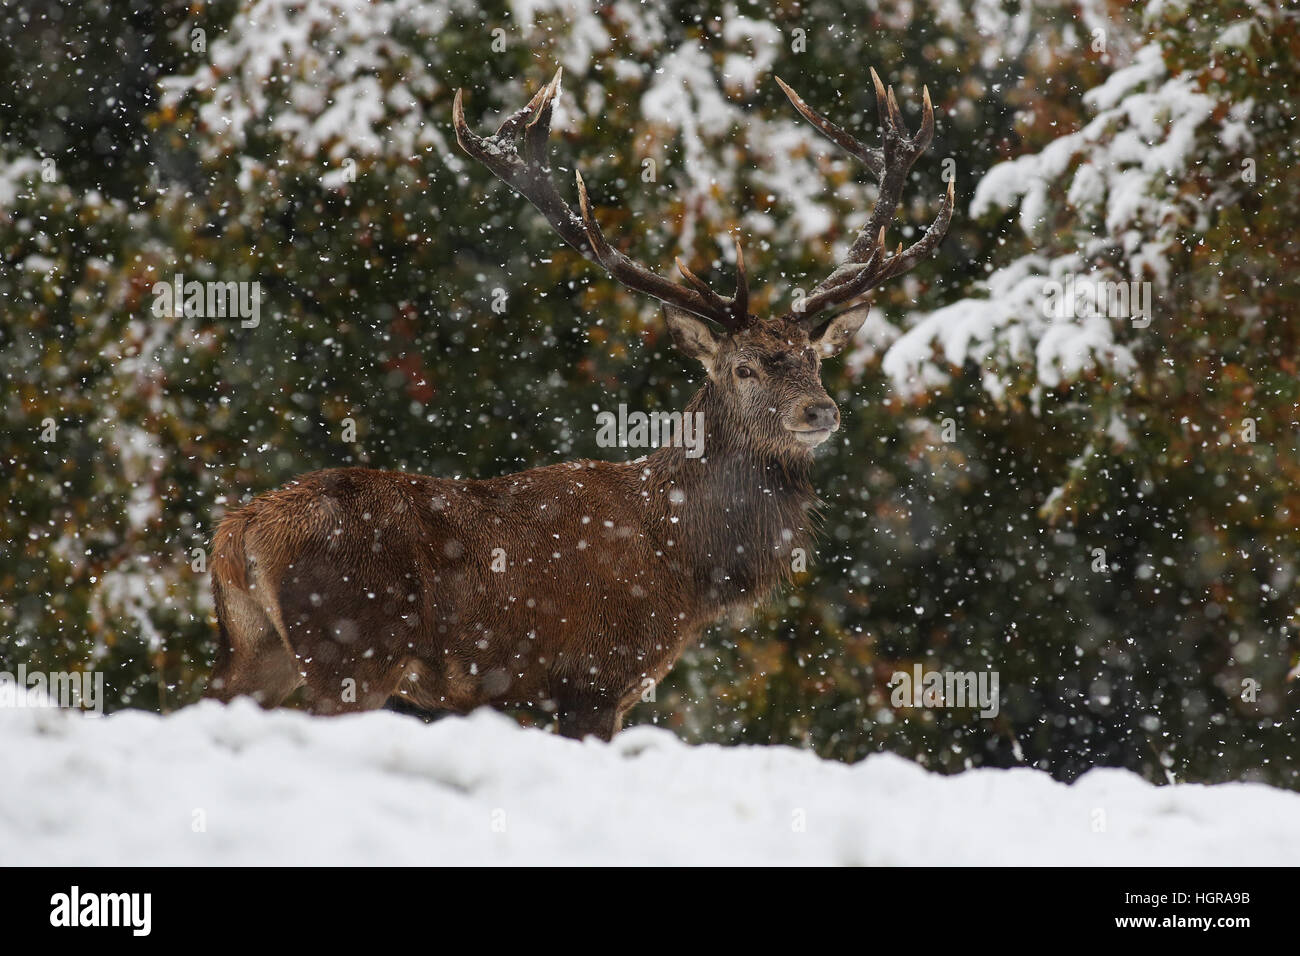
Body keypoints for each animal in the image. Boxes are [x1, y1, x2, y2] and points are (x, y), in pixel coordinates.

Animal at [205, 68, 953, 740]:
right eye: (743, 367)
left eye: (813, 358)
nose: (819, 412)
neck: (684, 560)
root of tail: (238, 533)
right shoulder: (594, 676)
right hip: (351, 650)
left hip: (256, 650)